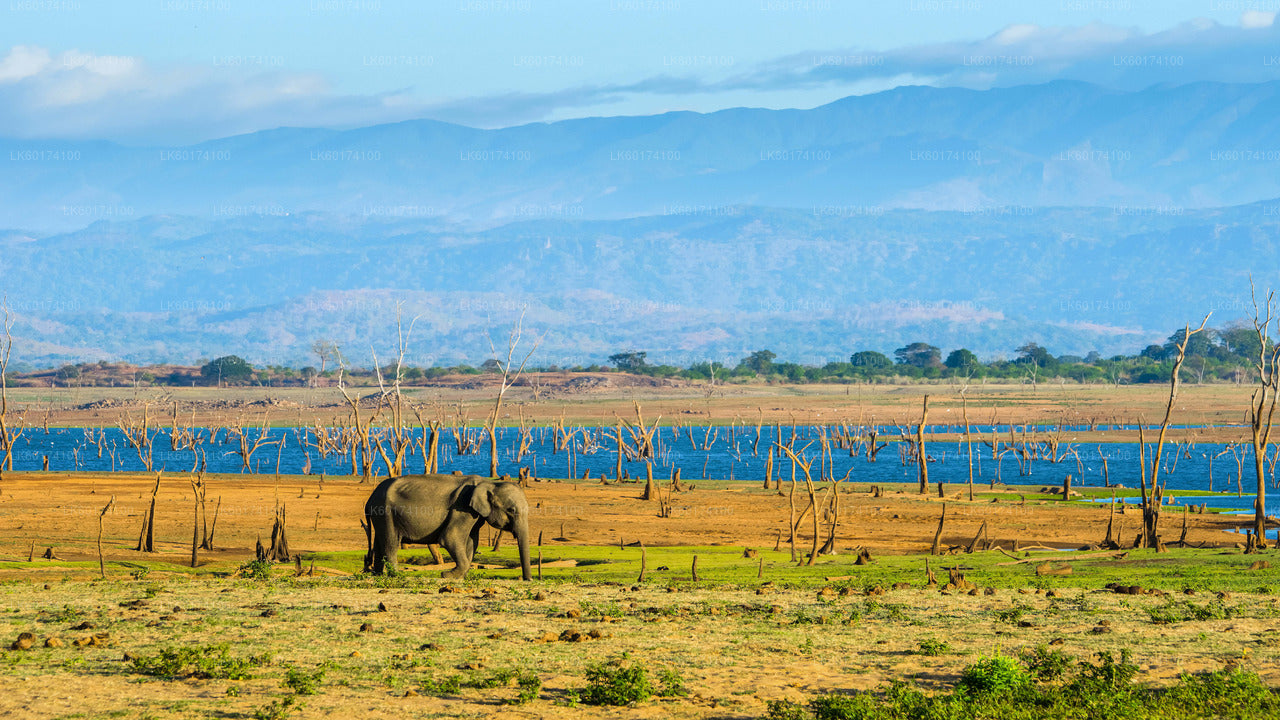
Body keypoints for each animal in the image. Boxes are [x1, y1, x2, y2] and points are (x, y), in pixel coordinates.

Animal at [363, 474, 532, 579]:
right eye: (511, 510)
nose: (527, 579)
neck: (488, 482)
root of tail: (370, 499)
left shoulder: (474, 515)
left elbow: (472, 541)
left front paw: (461, 576)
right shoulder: (462, 507)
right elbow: (450, 537)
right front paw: (447, 575)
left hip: (381, 516)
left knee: (379, 543)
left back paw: (378, 574)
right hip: (385, 512)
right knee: (391, 543)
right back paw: (396, 575)